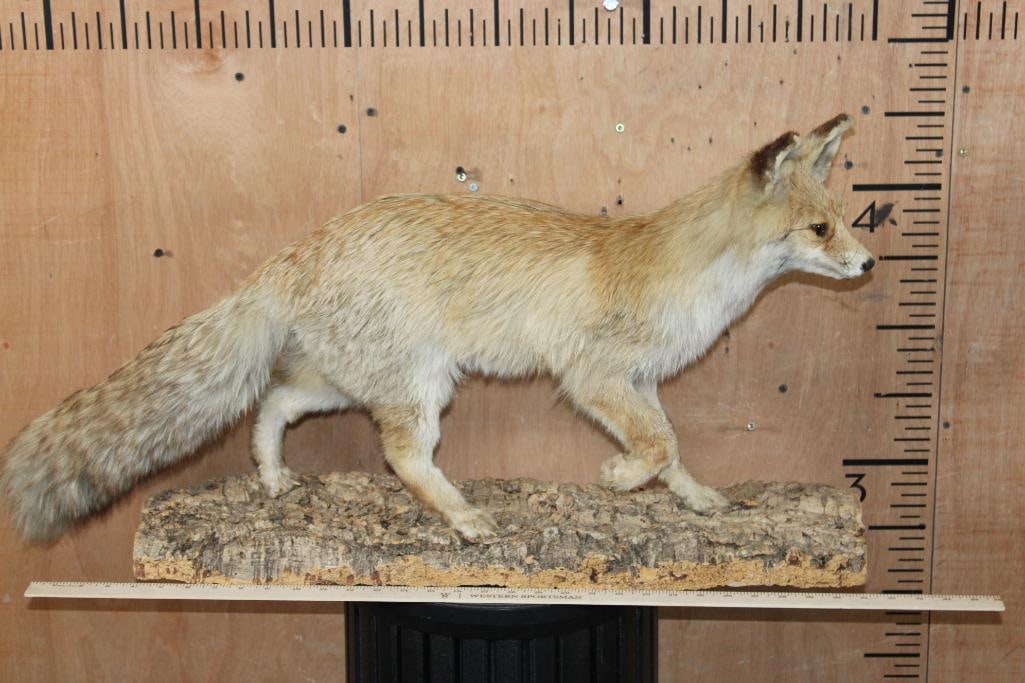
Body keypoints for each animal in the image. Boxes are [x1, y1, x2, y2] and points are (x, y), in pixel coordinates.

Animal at [1, 113, 873, 542]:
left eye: (842, 221)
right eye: (819, 229)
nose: (867, 263)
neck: (685, 269)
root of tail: (301, 248)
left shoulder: (640, 382)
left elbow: (674, 449)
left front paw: (692, 498)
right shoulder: (591, 375)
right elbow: (655, 446)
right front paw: (619, 481)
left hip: (348, 380)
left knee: (273, 402)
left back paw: (273, 477)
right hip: (419, 388)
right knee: (400, 456)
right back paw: (461, 517)